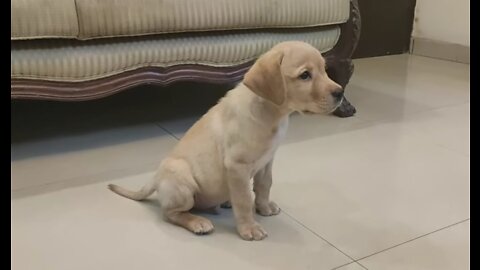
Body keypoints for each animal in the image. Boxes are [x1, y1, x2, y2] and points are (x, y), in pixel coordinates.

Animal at [109, 40, 344, 240]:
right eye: (305, 75)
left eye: (324, 70)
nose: (340, 92)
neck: (271, 112)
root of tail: (155, 178)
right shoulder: (237, 166)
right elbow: (244, 199)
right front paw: (249, 227)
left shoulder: (267, 161)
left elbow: (264, 185)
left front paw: (264, 206)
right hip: (182, 179)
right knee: (170, 213)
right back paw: (197, 222)